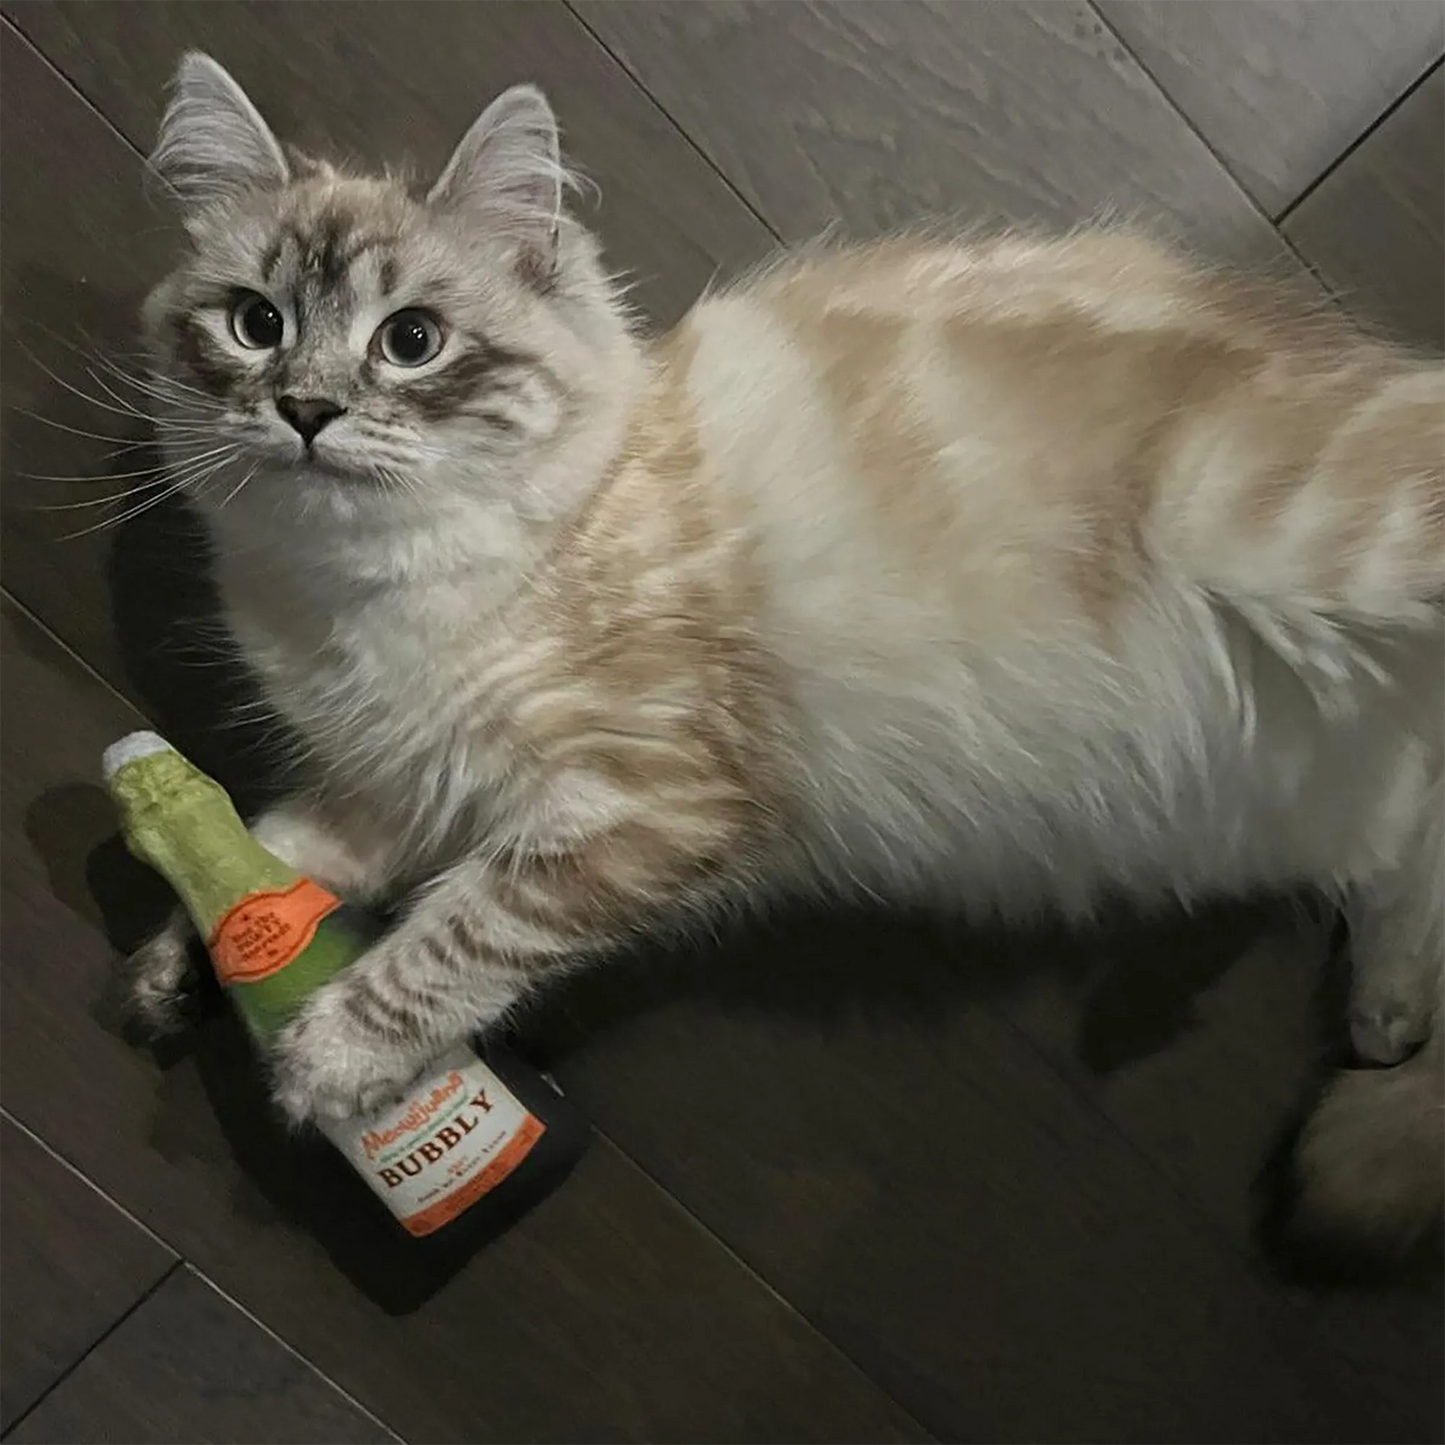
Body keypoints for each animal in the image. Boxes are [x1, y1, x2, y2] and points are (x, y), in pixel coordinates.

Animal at [124, 50, 1445, 1260]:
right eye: (255, 324)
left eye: (411, 341)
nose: (304, 409)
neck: (369, 595)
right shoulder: (394, 783)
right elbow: (269, 858)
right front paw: (186, 968)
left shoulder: (640, 795)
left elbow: (454, 938)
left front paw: (332, 1055)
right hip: (1284, 793)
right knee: (1405, 836)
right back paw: (1383, 1015)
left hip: (1306, 541)